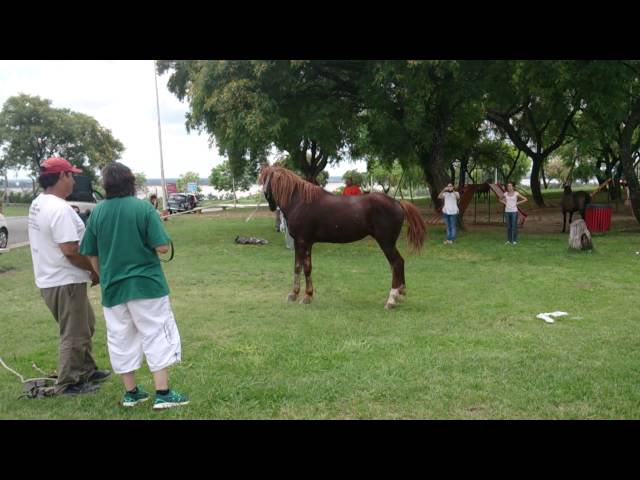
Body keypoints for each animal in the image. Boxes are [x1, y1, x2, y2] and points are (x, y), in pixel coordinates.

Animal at [258, 165, 428, 310]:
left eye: (265, 179)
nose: (270, 204)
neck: (299, 201)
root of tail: (398, 203)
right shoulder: (301, 243)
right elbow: (298, 267)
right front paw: (293, 294)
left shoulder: (303, 241)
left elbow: (306, 268)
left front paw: (307, 296)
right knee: (398, 264)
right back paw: (400, 294)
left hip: (386, 243)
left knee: (397, 263)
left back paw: (391, 300)